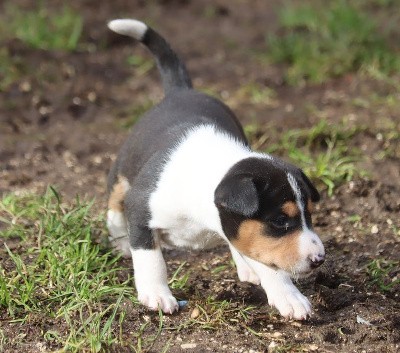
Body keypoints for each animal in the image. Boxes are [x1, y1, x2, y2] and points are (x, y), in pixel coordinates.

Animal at [106, 19, 324, 320]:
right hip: (123, 170)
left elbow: (266, 259)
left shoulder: (252, 235)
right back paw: (119, 238)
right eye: (280, 220)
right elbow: (151, 258)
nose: (319, 259)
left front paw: (289, 297)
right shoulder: (140, 209)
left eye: (310, 215)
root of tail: (180, 91)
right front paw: (157, 296)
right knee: (114, 200)